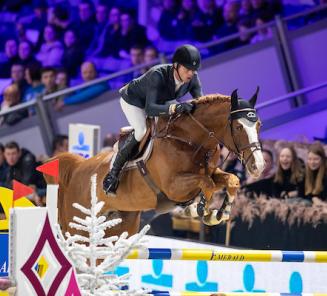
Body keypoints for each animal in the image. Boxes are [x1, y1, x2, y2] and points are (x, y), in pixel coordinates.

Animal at [44, 89, 266, 237]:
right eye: (238, 127)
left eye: (258, 124)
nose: (259, 166)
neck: (190, 140)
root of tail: (77, 168)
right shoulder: (174, 186)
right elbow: (207, 184)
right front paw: (202, 209)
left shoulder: (211, 172)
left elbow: (231, 180)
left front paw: (221, 213)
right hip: (77, 226)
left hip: (121, 224)